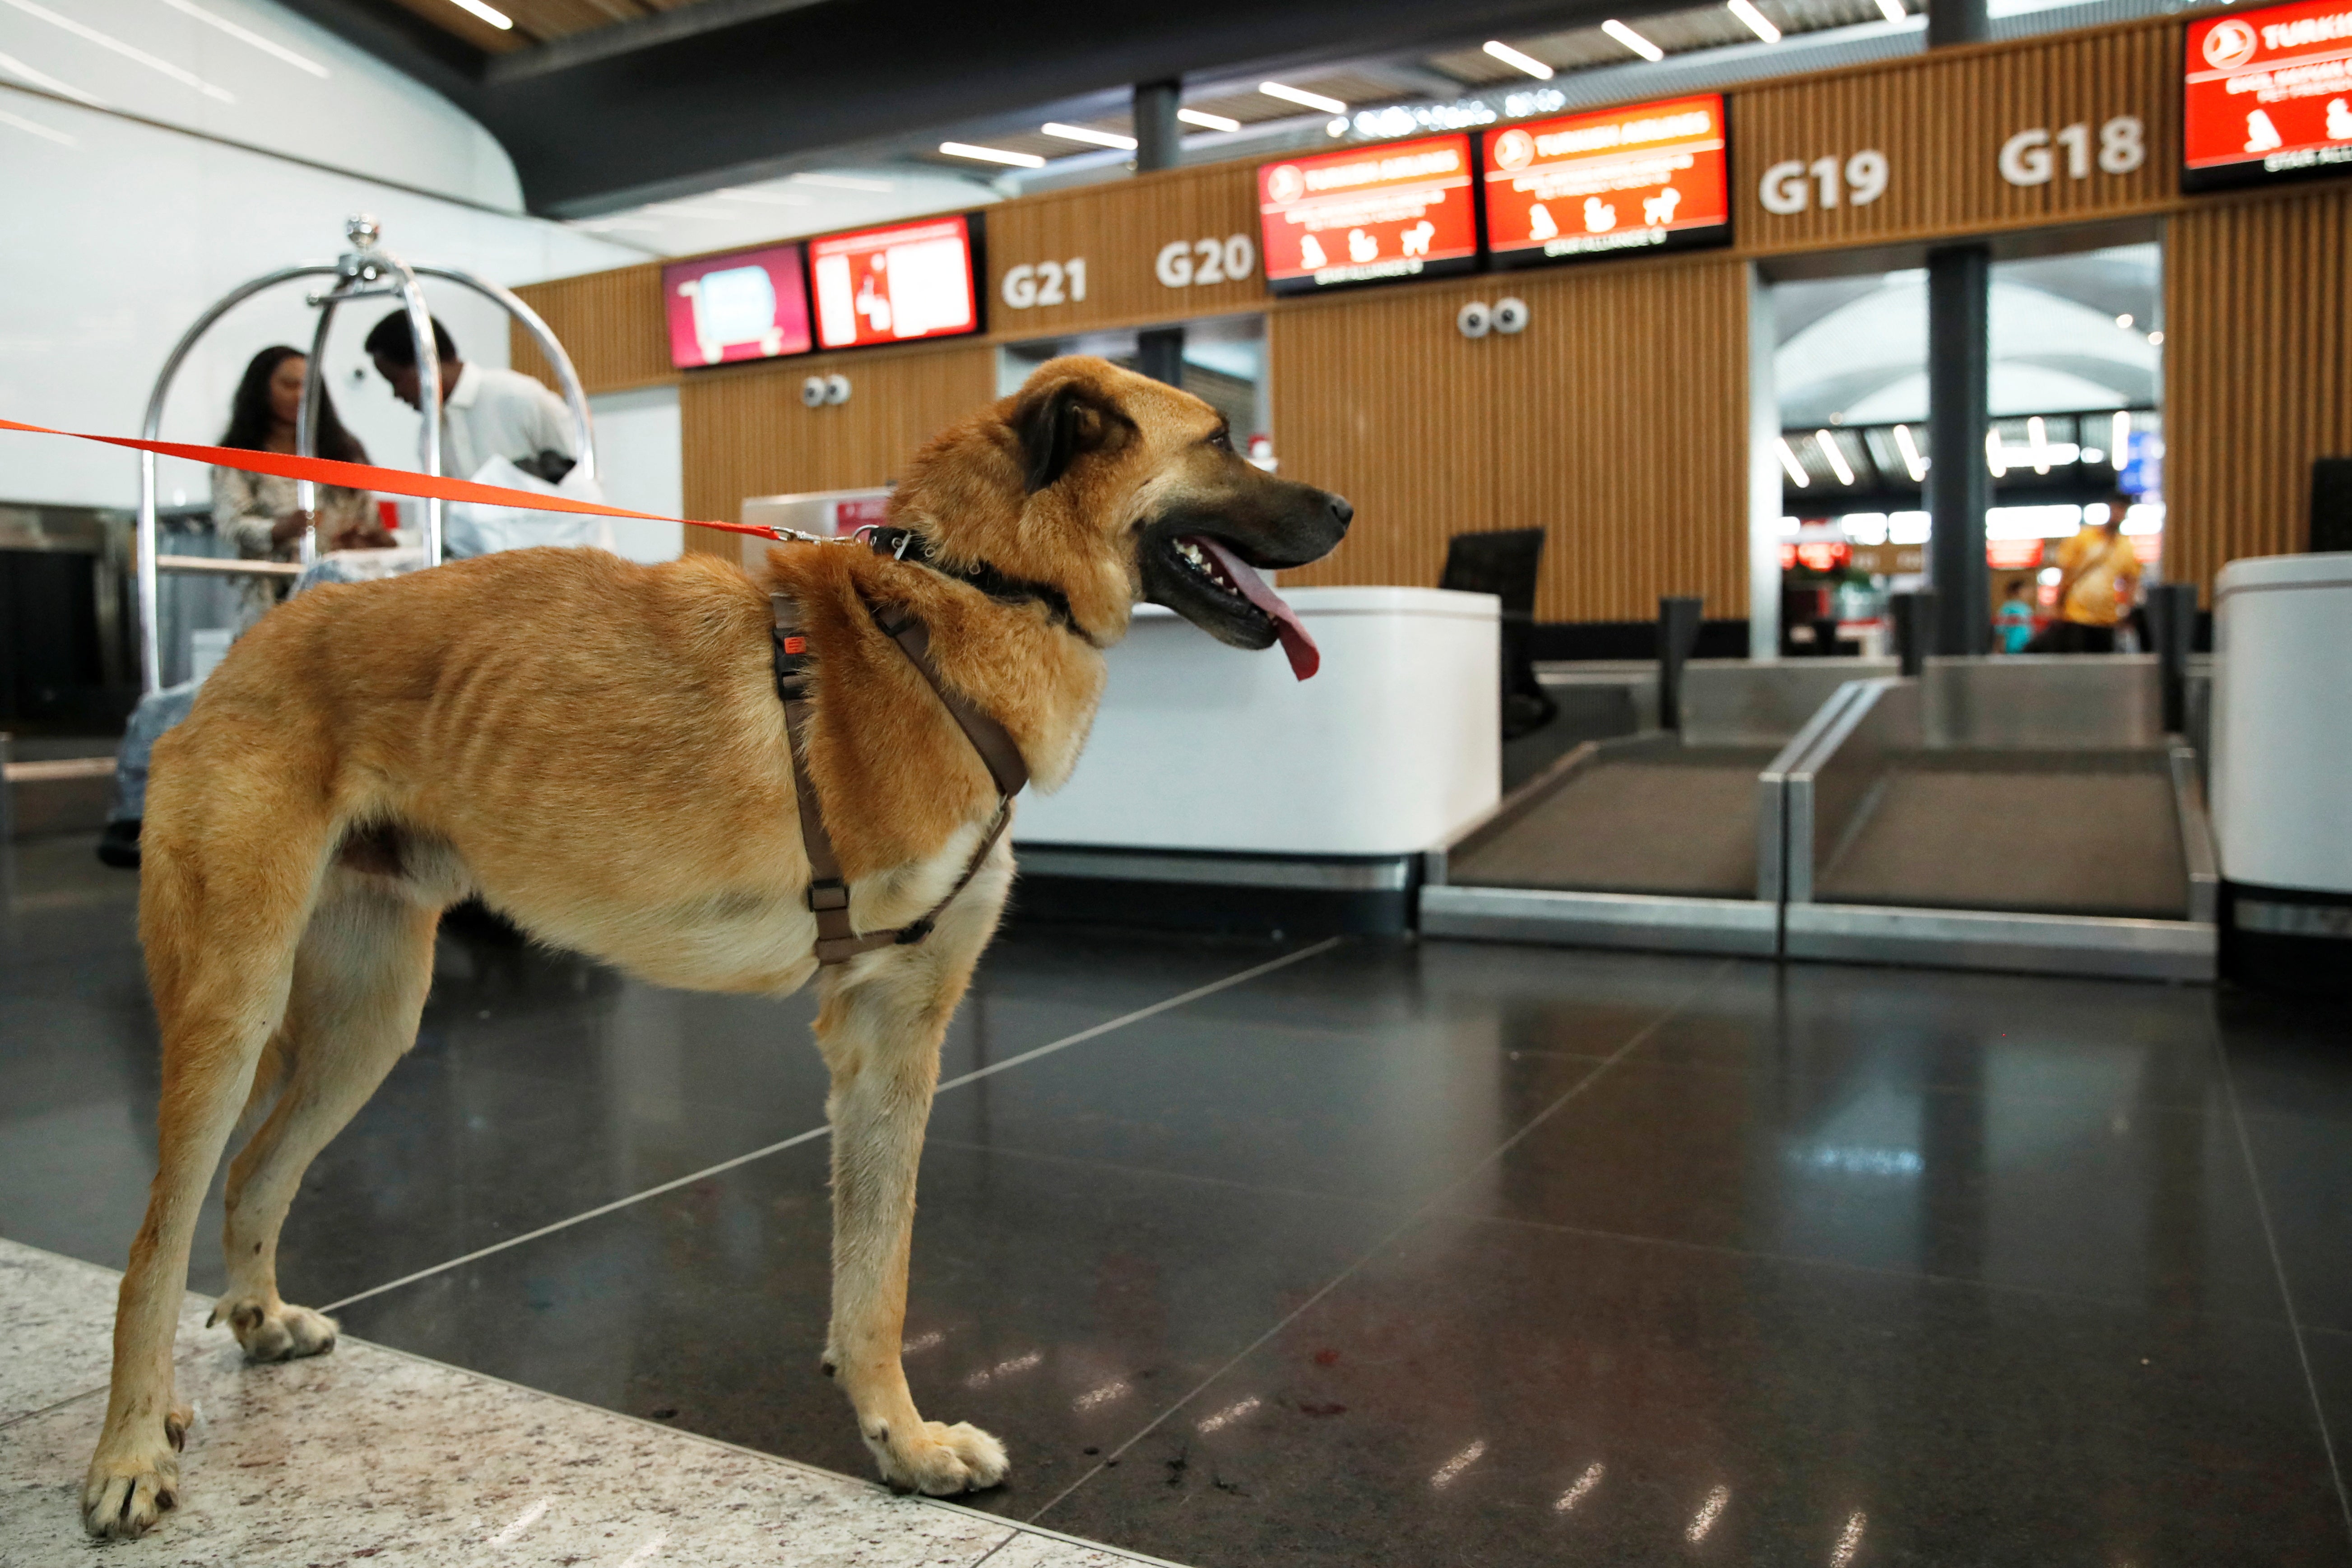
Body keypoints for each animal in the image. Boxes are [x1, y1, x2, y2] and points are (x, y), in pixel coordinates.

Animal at [83, 359, 1364, 1542]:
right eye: (1219, 440)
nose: (1349, 510)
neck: (963, 594)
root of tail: (244, 652)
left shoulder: (893, 1040)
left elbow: (872, 1277)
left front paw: (898, 1444)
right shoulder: (884, 1023)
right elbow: (884, 1273)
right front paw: (903, 1438)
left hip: (369, 1025)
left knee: (256, 1175)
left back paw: (256, 1323)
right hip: (231, 1010)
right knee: (154, 1243)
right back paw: (132, 1447)